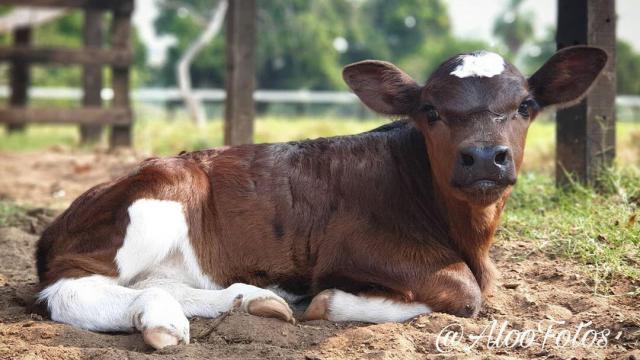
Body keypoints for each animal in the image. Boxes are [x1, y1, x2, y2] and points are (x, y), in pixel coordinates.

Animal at [33, 46, 604, 350]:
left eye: (526, 105)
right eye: (430, 110)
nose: (485, 156)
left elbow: (481, 290)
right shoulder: (350, 249)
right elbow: (462, 290)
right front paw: (332, 302)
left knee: (164, 281)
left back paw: (255, 300)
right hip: (161, 196)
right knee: (71, 290)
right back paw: (160, 319)